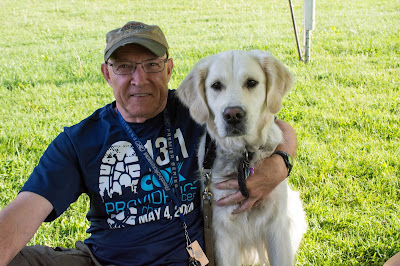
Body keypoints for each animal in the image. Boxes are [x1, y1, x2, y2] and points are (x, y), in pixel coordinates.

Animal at [177, 50, 306, 266]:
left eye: (251, 82)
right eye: (216, 85)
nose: (233, 115)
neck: (243, 155)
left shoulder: (277, 227)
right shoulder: (222, 233)